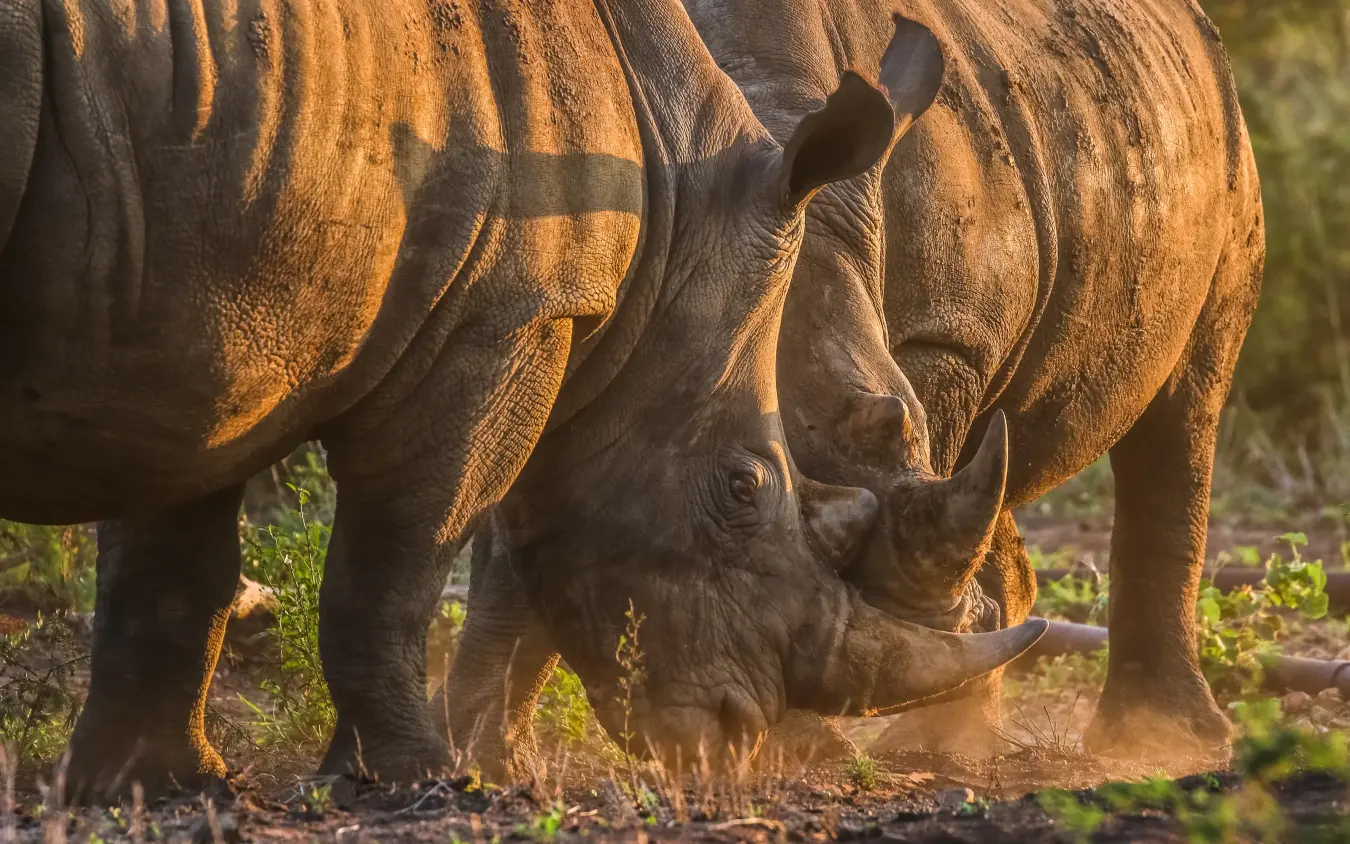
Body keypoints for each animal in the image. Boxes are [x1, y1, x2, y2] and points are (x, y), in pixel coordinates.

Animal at [0, 0, 1044, 800]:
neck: (670, 207)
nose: (735, 741)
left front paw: (152, 786)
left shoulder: (217, 303)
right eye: (747, 486)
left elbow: (173, 551)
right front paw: (415, 782)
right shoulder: (503, 315)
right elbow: (398, 558)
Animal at [450, 0, 1264, 770]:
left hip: (1222, 142)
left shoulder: (946, 336)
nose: (940, 621)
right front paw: (484, 748)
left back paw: (1152, 739)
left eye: (889, 421)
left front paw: (803, 742)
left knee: (1183, 407)